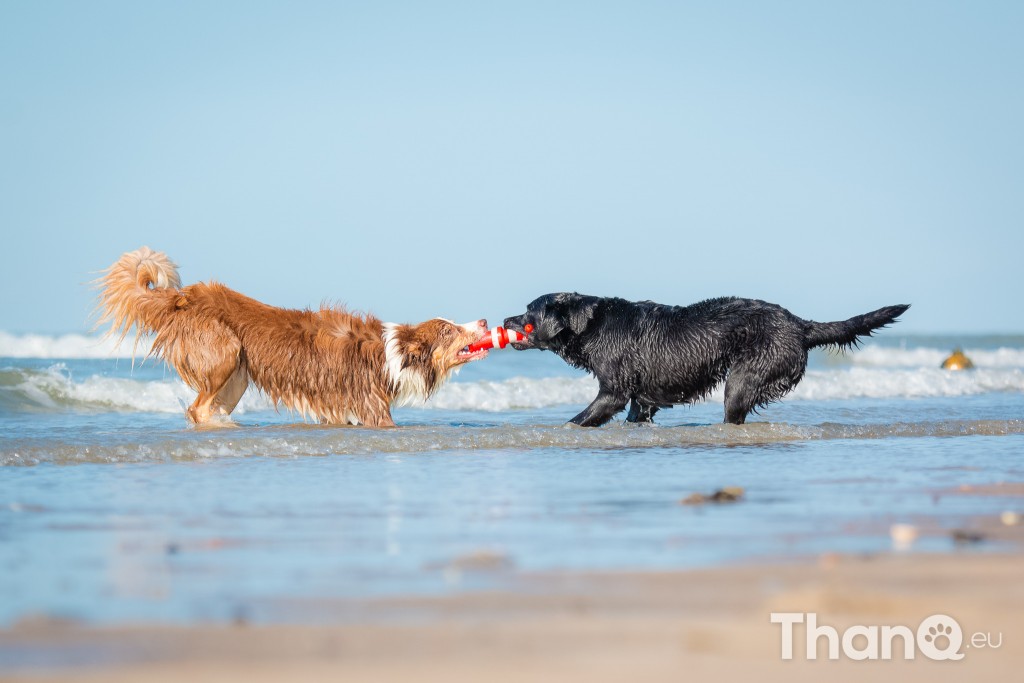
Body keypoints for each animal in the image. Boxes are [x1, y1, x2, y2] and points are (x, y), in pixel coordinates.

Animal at [97, 245, 489, 428]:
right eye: (449, 330)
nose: (486, 321)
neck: (393, 354)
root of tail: (182, 297)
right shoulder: (374, 409)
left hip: (237, 375)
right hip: (225, 351)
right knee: (196, 409)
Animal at [505, 294, 913, 428]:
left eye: (528, 312)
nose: (506, 320)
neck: (592, 326)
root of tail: (799, 323)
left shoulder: (613, 392)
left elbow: (579, 419)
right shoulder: (641, 400)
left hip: (744, 378)